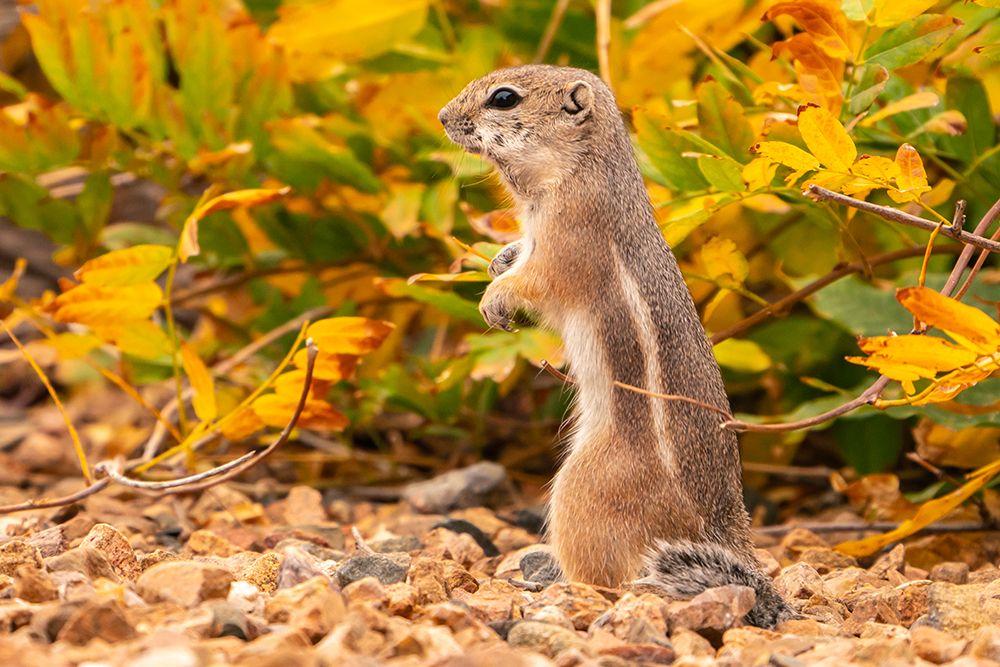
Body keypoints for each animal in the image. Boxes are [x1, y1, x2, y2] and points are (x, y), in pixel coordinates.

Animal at [438, 65, 794, 628]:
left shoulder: (567, 240)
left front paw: (496, 297)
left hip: (580, 490)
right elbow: (518, 255)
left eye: (504, 98)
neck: (579, 168)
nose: (442, 118)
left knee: (609, 580)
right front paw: (498, 261)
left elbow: (534, 280)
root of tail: (727, 536)